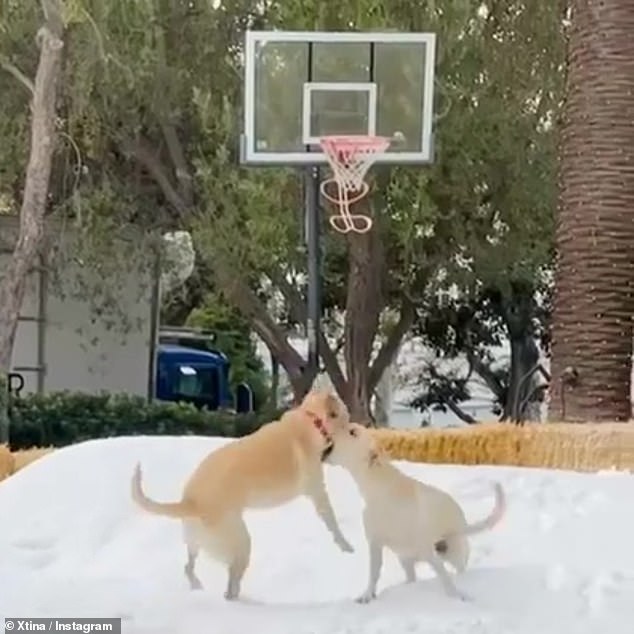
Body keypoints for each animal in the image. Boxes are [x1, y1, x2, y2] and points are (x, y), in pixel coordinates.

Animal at [131, 388, 354, 600]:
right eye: (346, 415)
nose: (354, 426)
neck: (311, 419)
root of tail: (190, 502)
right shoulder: (317, 491)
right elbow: (332, 522)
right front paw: (346, 546)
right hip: (241, 542)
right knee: (230, 584)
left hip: (196, 542)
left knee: (189, 567)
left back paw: (197, 585)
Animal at [326, 422, 504, 600]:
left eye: (353, 432)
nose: (334, 424)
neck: (380, 486)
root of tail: (463, 523)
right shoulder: (375, 543)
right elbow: (374, 573)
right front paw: (367, 595)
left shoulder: (425, 548)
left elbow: (444, 577)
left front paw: (456, 596)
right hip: (408, 559)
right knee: (413, 577)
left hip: (453, 551)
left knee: (457, 569)